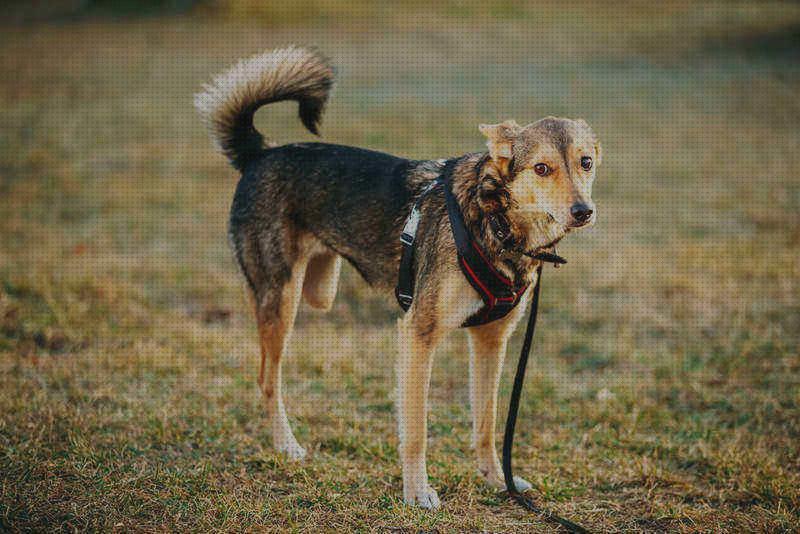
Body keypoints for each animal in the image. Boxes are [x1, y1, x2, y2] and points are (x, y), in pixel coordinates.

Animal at [195, 47, 600, 510]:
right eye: (542, 168)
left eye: (585, 162)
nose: (583, 211)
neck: (495, 218)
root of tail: (260, 154)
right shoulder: (417, 334)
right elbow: (417, 430)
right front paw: (417, 492)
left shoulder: (491, 339)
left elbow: (486, 422)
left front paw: (497, 480)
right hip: (281, 298)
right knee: (267, 378)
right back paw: (287, 446)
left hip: (318, 289)